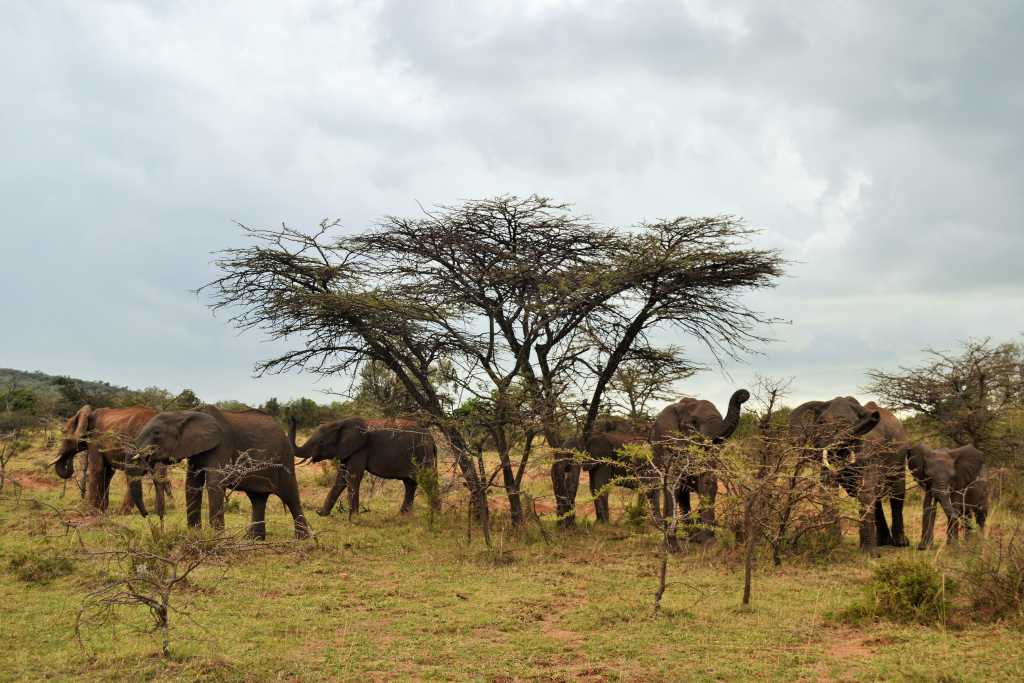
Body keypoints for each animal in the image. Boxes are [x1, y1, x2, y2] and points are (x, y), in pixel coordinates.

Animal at [138, 405, 309, 540]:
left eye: (157, 433)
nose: (148, 516)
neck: (185, 413)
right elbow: (192, 485)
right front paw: (194, 536)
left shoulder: (222, 444)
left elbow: (214, 483)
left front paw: (216, 539)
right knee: (258, 499)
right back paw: (254, 540)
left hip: (285, 458)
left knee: (290, 496)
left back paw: (302, 539)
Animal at [288, 417, 436, 518]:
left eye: (321, 442)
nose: (292, 417)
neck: (341, 422)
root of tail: (432, 438)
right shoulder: (347, 450)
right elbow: (341, 478)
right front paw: (321, 514)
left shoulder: (360, 449)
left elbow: (352, 477)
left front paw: (353, 519)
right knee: (410, 483)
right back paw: (403, 516)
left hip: (423, 454)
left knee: (428, 482)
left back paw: (436, 515)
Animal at [651, 389, 749, 540]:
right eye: (693, 424)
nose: (744, 395)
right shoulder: (668, 442)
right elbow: (673, 484)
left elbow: (708, 482)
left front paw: (707, 540)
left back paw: (691, 533)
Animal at [786, 397, 884, 552]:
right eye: (821, 423)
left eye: (851, 423)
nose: (875, 415)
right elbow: (828, 491)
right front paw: (834, 547)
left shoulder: (868, 453)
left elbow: (866, 490)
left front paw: (870, 553)